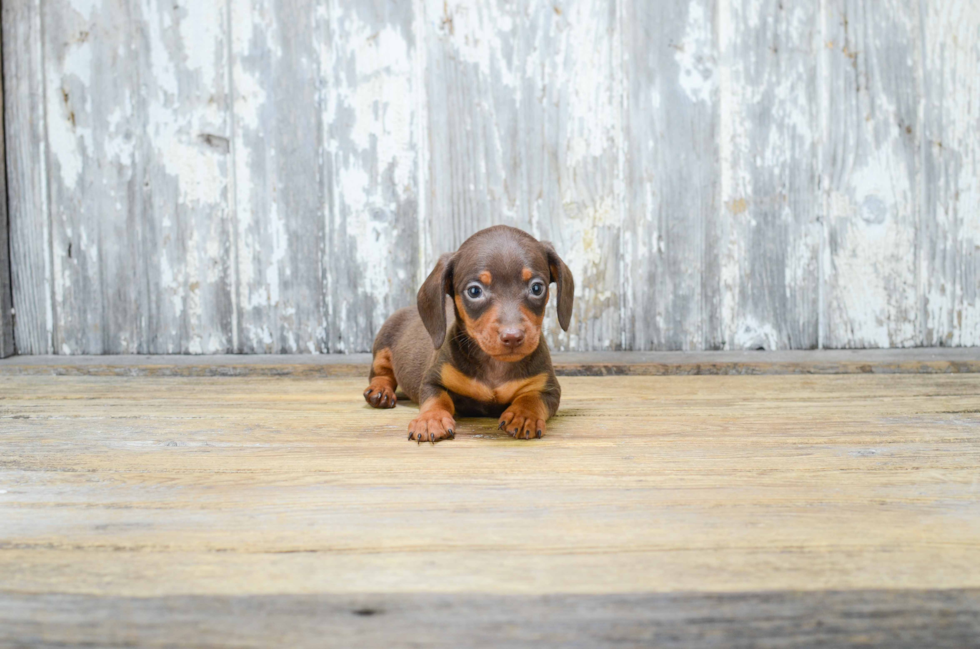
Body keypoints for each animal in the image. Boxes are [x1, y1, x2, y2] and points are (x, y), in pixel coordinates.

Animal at [362, 225, 576, 442]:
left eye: (537, 288)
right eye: (474, 291)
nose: (512, 337)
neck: (495, 366)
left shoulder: (548, 387)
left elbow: (532, 397)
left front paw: (523, 415)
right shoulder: (433, 379)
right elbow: (436, 398)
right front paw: (431, 418)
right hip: (383, 343)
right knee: (380, 372)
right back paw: (380, 390)